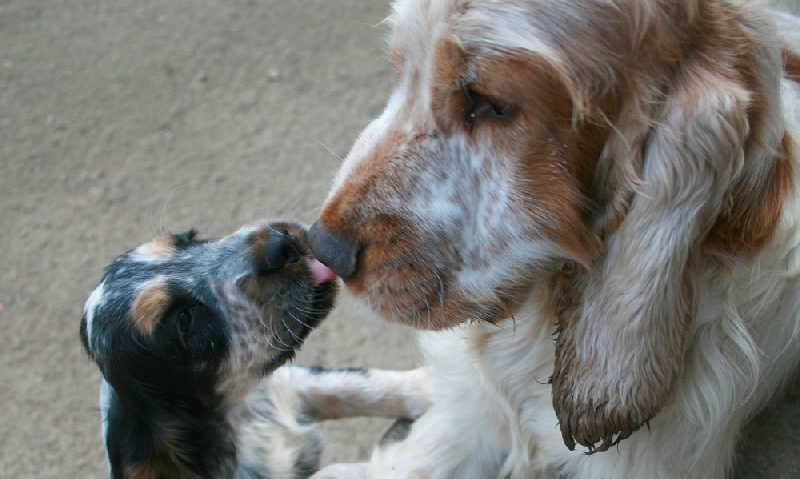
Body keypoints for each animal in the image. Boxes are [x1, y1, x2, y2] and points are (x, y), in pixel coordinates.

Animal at [79, 221, 432, 479]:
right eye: (185, 321)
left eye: (189, 239)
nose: (281, 244)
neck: (241, 413)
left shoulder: (286, 383)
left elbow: (355, 384)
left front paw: (435, 387)